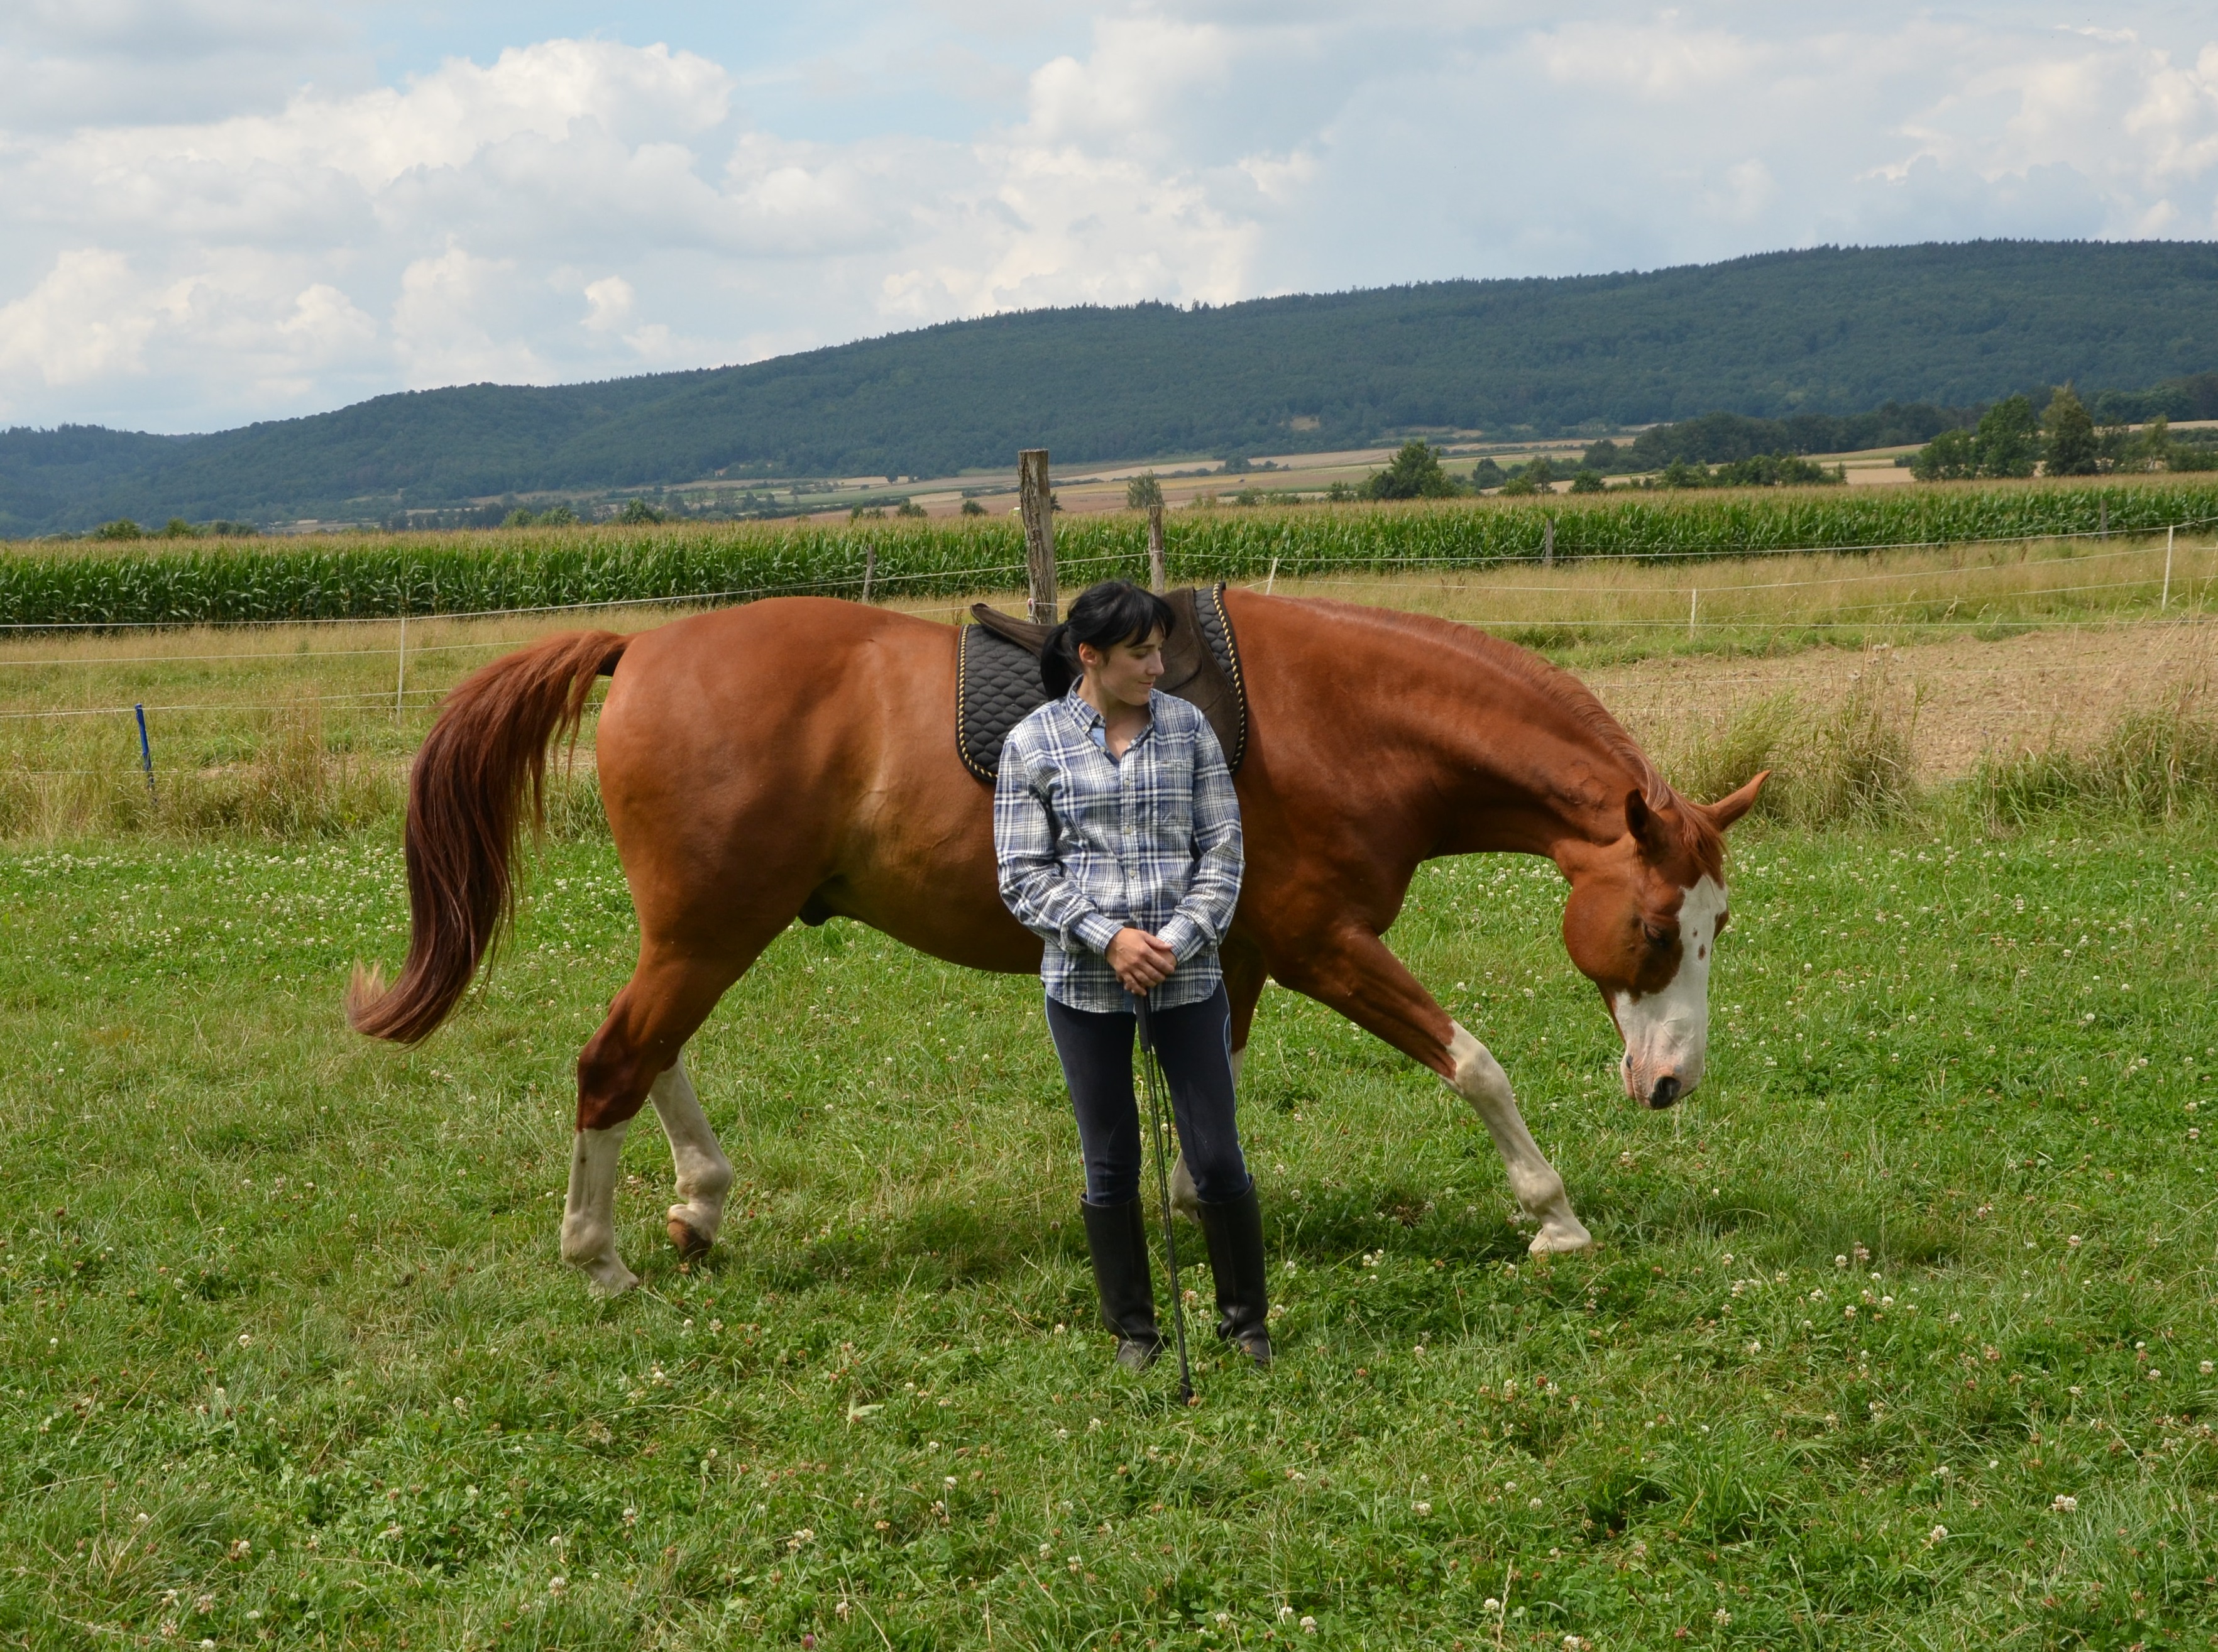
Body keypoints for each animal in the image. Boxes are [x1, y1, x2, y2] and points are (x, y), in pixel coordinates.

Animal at [348, 591, 1765, 1296]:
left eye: (1719, 927)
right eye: (1653, 927)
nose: (1670, 1081)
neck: (1344, 718)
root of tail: (640, 642)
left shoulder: (1234, 955)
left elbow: (1209, 1094)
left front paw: (1193, 1206)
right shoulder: (1323, 943)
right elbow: (1475, 1064)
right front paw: (1554, 1214)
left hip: (709, 925)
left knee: (648, 1053)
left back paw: (697, 1202)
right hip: (710, 926)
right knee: (613, 1061)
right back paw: (601, 1264)